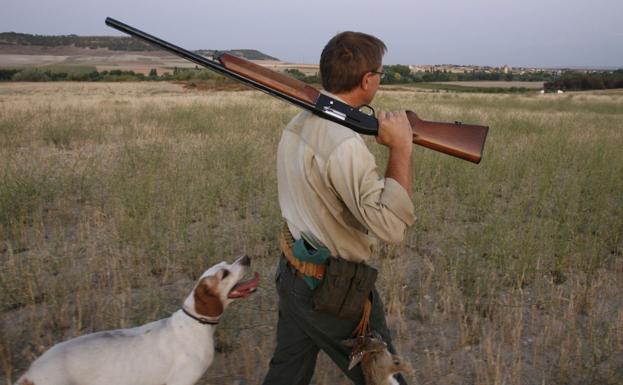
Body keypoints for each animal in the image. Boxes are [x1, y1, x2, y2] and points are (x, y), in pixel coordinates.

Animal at [17, 255, 260, 384]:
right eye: (224, 274)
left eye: (227, 263)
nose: (247, 258)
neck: (193, 324)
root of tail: (30, 373)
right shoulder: (181, 380)